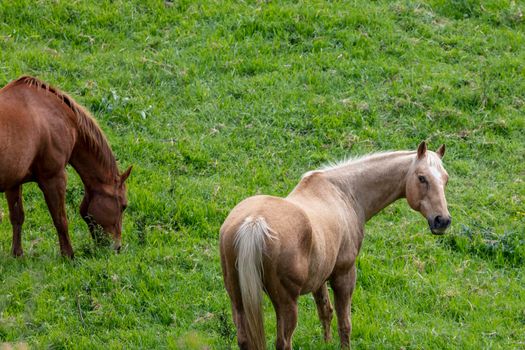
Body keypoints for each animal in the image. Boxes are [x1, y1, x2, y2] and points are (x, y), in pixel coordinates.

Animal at [0, 76, 131, 258]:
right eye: (124, 206)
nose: (117, 247)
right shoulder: (54, 179)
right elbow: (60, 219)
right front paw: (68, 255)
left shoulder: (13, 182)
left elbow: (17, 217)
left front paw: (17, 254)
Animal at [220, 142, 450, 348]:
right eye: (422, 178)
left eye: (445, 179)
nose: (443, 221)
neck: (344, 192)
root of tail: (254, 222)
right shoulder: (344, 274)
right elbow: (344, 323)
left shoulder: (320, 277)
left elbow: (325, 311)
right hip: (286, 303)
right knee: (284, 342)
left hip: (238, 300)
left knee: (245, 339)